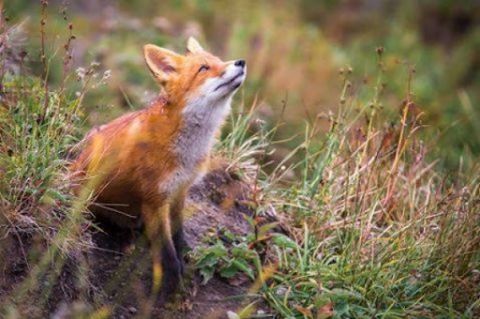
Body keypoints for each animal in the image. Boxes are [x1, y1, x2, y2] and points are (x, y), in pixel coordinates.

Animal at [71, 37, 248, 298]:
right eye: (204, 68)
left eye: (219, 60)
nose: (241, 61)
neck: (186, 149)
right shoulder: (154, 200)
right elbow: (168, 255)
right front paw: (176, 291)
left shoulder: (178, 191)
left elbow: (178, 236)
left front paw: (184, 260)